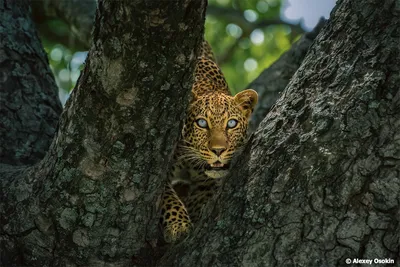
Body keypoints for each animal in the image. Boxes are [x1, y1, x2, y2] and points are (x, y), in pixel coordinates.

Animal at [161, 40, 258, 245]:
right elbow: (166, 196)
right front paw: (178, 225)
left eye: (231, 124)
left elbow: (200, 198)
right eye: (202, 123)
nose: (219, 151)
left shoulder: (207, 182)